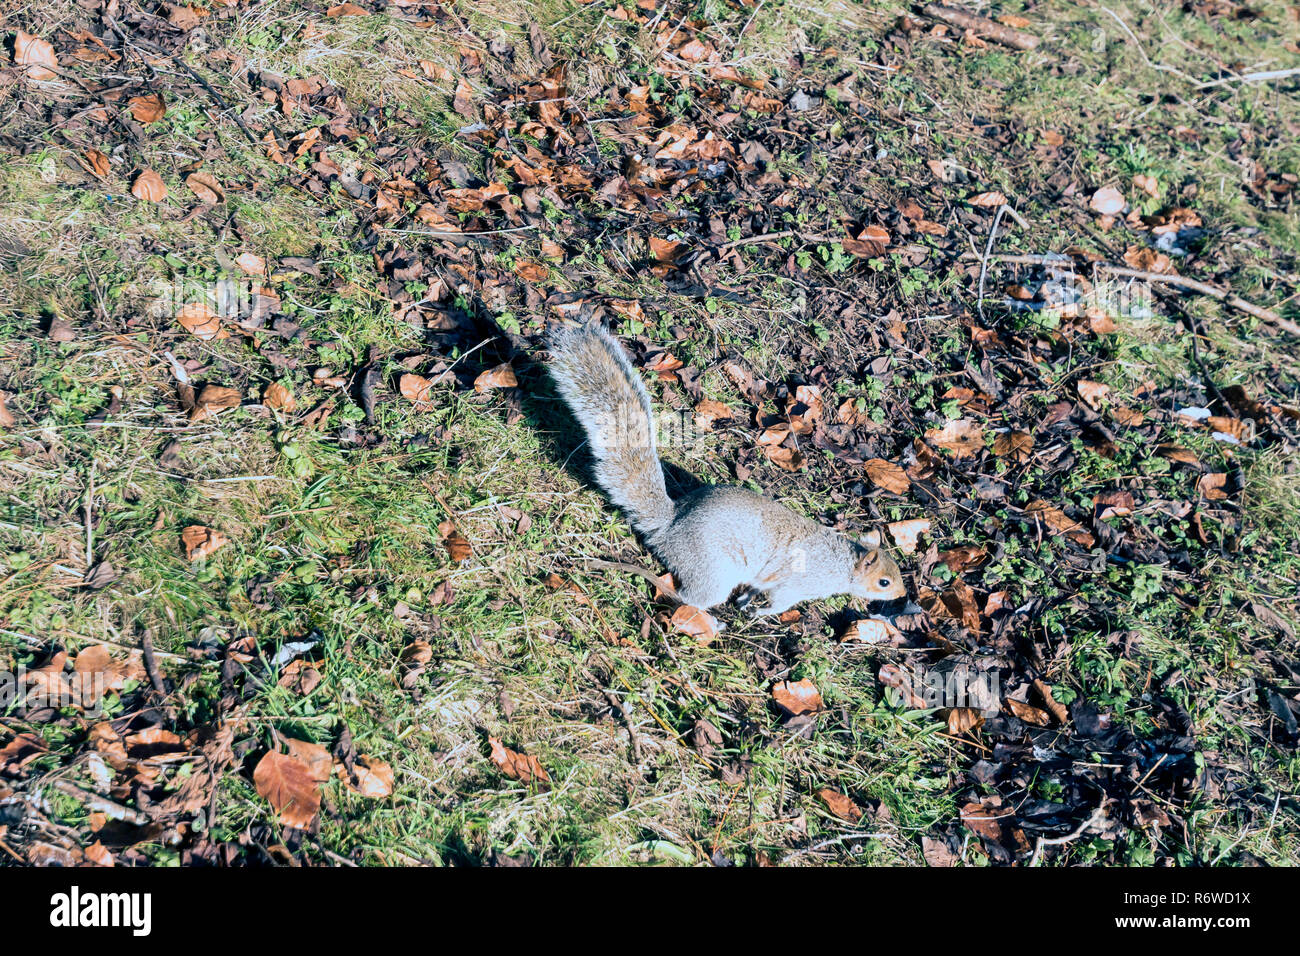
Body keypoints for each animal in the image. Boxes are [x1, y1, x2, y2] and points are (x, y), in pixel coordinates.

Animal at [546, 321, 908, 619]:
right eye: (884, 582)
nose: (903, 595)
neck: (840, 564)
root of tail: (670, 527)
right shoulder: (795, 585)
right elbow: (778, 602)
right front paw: (761, 613)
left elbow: (756, 589)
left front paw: (747, 601)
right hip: (714, 572)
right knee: (685, 596)